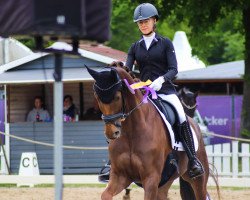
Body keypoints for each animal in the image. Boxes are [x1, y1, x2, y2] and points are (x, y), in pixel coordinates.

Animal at [87, 65, 214, 200]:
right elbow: (105, 195)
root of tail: (193, 123)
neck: (131, 133)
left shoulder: (151, 178)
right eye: (97, 97)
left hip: (198, 179)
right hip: (164, 184)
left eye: (117, 97)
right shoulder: (120, 176)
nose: (111, 132)